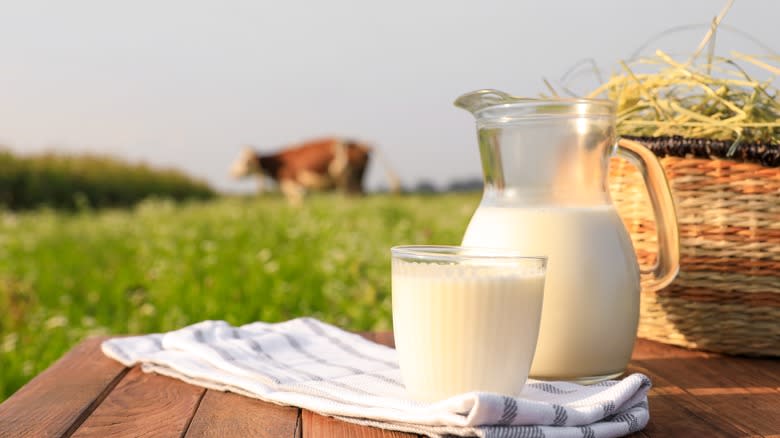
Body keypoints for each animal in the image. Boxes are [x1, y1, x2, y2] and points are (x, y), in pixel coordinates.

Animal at [230, 138, 390, 204]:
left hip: (347, 178)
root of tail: (363, 145)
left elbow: (297, 203)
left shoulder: (291, 184)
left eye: (245, 161)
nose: (230, 173)